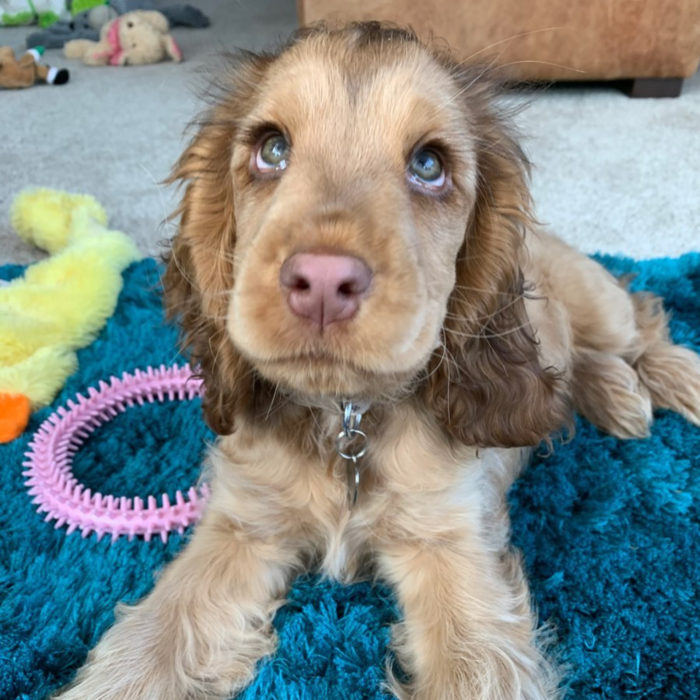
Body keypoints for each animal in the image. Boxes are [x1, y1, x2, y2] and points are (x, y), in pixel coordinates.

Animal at [57, 21, 700, 700]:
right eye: (271, 150)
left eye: (429, 165)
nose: (321, 283)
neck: (345, 420)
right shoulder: (241, 527)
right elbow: (146, 650)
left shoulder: (451, 549)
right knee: (574, 367)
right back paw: (614, 394)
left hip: (596, 300)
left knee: (640, 317)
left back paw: (667, 381)